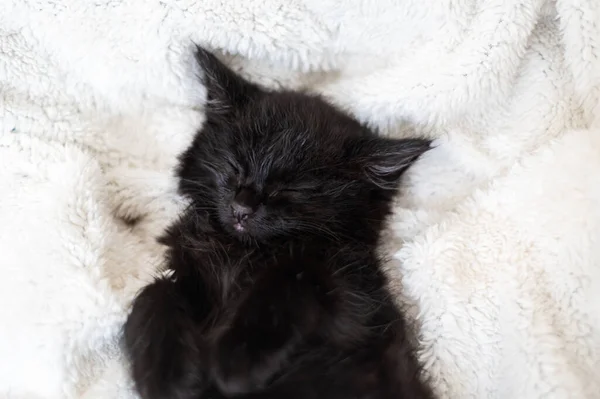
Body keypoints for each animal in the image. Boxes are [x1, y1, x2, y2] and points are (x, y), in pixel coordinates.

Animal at [124, 47, 434, 399]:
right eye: (234, 166)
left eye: (291, 189)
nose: (242, 207)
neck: (240, 251)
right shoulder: (186, 269)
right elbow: (154, 290)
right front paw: (169, 378)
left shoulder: (356, 303)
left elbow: (292, 271)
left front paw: (237, 361)